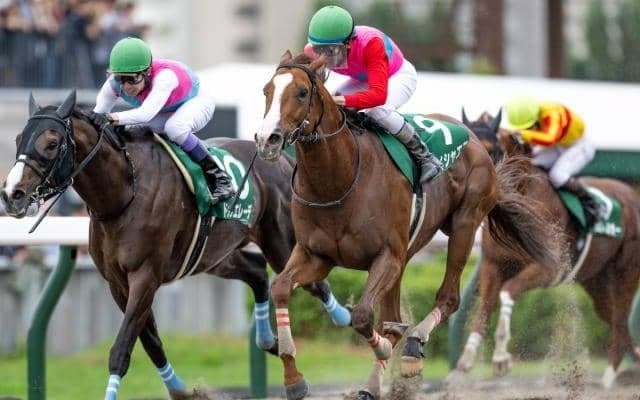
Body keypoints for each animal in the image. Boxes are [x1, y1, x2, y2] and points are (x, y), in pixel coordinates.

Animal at [0, 90, 352, 400]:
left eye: (51, 143)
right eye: (18, 139)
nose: (12, 194)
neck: (124, 193)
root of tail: (281, 160)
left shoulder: (145, 276)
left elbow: (121, 349)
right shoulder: (118, 283)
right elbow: (151, 343)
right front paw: (181, 390)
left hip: (280, 243)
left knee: (312, 283)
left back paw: (344, 320)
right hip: (213, 256)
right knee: (256, 272)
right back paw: (269, 340)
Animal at [253, 51, 559, 400]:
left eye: (302, 92)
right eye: (266, 90)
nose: (267, 139)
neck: (338, 179)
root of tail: (473, 141)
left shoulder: (386, 256)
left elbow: (363, 316)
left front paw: (386, 346)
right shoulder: (316, 256)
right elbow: (280, 288)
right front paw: (293, 379)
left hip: (464, 224)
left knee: (448, 298)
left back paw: (412, 347)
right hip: (407, 253)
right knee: (394, 314)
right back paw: (376, 380)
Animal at [454, 109, 640, 388]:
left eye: (488, 147)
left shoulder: (547, 268)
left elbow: (508, 292)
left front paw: (501, 359)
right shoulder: (492, 266)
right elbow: (483, 308)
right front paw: (466, 360)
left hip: (625, 273)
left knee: (619, 323)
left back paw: (608, 378)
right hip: (596, 282)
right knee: (617, 321)